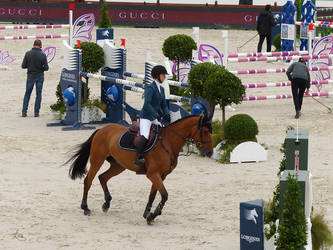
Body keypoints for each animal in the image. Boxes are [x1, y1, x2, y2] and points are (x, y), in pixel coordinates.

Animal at [67, 115, 213, 225]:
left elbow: (153, 194)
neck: (169, 143)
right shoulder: (153, 174)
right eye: (206, 131)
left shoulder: (161, 175)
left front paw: (147, 214)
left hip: (118, 166)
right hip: (97, 161)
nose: (210, 153)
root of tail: (101, 130)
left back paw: (106, 204)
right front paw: (153, 215)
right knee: (88, 181)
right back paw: (85, 208)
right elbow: (164, 195)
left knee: (102, 177)